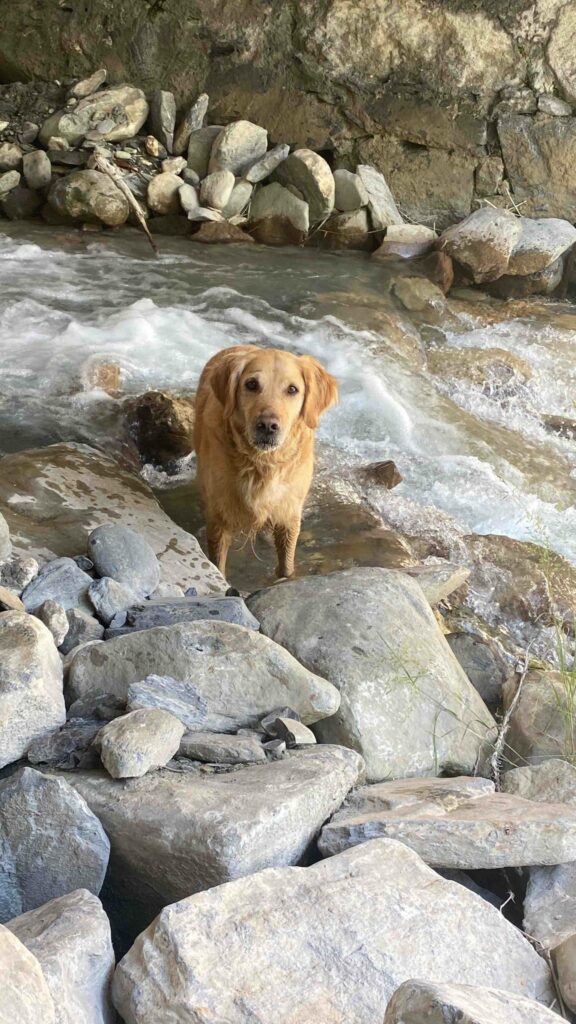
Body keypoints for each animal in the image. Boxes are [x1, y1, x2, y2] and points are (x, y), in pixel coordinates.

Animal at [192, 344, 336, 581]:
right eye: (251, 384)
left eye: (292, 389)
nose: (268, 425)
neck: (262, 463)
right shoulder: (220, 516)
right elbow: (217, 563)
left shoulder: (289, 514)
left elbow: (286, 564)